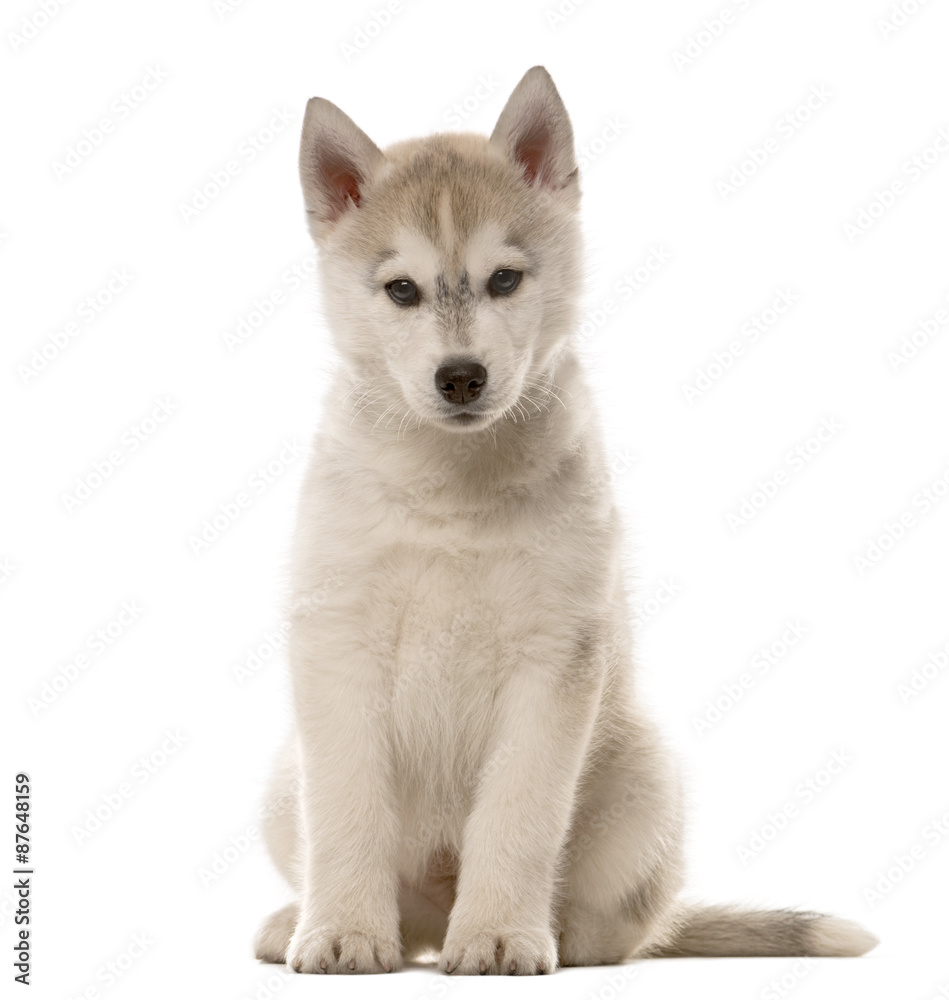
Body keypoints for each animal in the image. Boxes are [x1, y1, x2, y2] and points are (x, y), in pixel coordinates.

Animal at [256, 66, 876, 972]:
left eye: (505, 280)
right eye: (401, 289)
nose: (461, 377)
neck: (452, 489)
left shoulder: (555, 658)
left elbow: (518, 818)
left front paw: (499, 935)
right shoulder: (335, 645)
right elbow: (344, 814)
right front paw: (341, 933)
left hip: (646, 776)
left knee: (624, 930)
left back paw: (550, 933)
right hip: (281, 779)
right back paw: (305, 923)